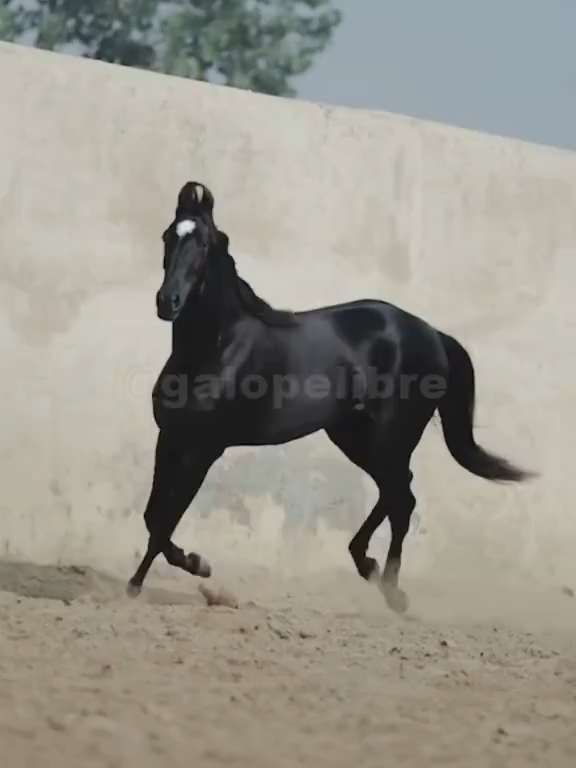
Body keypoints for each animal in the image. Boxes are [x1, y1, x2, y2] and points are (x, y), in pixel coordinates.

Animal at [126, 181, 535, 613]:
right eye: (168, 236)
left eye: (203, 243)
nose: (167, 301)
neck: (217, 350)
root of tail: (435, 335)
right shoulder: (170, 439)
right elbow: (153, 516)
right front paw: (149, 578)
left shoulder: (203, 448)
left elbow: (166, 519)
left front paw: (190, 566)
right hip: (356, 436)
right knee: (396, 491)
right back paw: (368, 565)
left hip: (390, 436)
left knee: (402, 499)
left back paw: (392, 589)